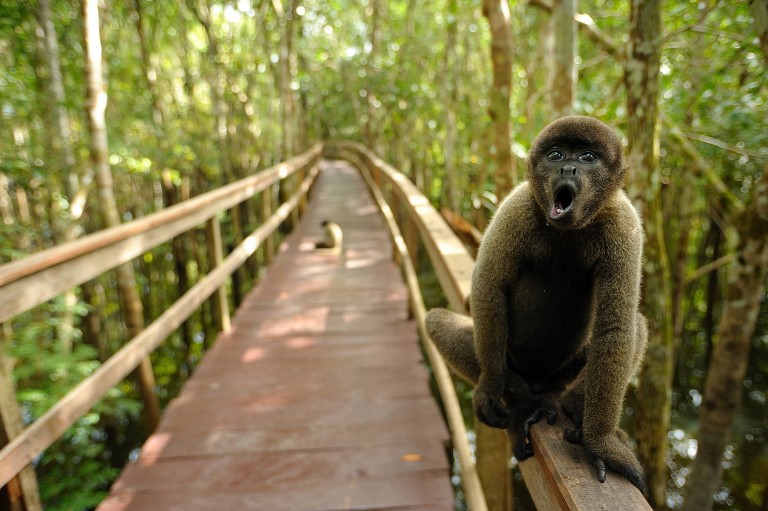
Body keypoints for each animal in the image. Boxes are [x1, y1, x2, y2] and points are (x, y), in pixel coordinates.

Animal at [425, 116, 648, 492]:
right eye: (555, 154)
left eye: (588, 157)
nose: (568, 168)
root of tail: (543, 381)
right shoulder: (515, 207)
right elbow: (488, 289)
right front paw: (491, 386)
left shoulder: (625, 225)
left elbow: (616, 329)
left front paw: (600, 443)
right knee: (436, 320)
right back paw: (521, 402)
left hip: (563, 372)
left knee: (637, 326)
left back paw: (575, 409)